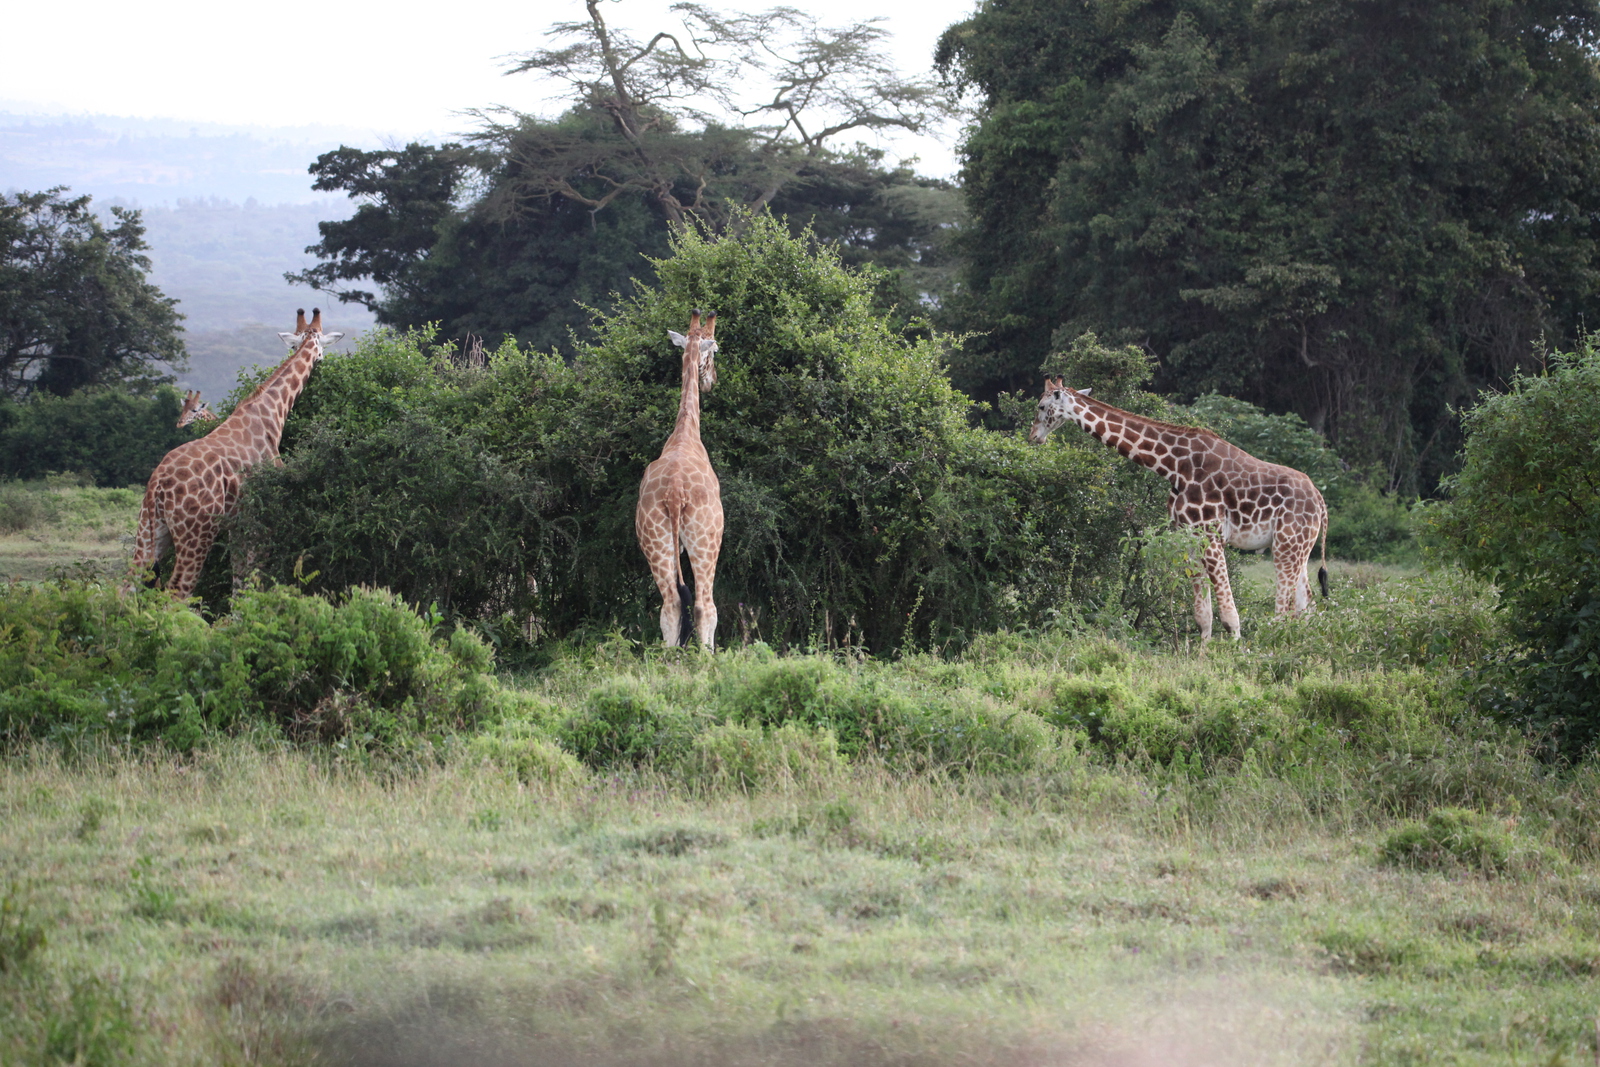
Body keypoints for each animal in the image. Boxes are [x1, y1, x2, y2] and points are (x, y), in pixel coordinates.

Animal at [127, 308, 344, 601]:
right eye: (322, 349)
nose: (320, 363)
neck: (271, 416)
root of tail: (157, 486)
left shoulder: (236, 525)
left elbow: (239, 583)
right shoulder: (260, 520)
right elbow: (253, 579)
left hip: (150, 529)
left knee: (127, 585)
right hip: (196, 533)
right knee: (177, 591)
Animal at [636, 308, 726, 652]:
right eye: (715, 350)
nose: (712, 382)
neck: (686, 432)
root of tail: (675, 494)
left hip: (653, 539)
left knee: (671, 604)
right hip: (706, 539)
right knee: (704, 605)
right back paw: (707, 658)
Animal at [1030, 377, 1331, 643]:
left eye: (1041, 406)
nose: (1034, 436)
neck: (1173, 467)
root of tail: (1320, 500)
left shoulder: (1211, 535)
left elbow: (1229, 615)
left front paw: (1235, 655)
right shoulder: (1189, 537)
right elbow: (1203, 615)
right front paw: (1201, 656)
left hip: (1286, 545)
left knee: (1284, 612)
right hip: (1298, 546)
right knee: (1308, 606)